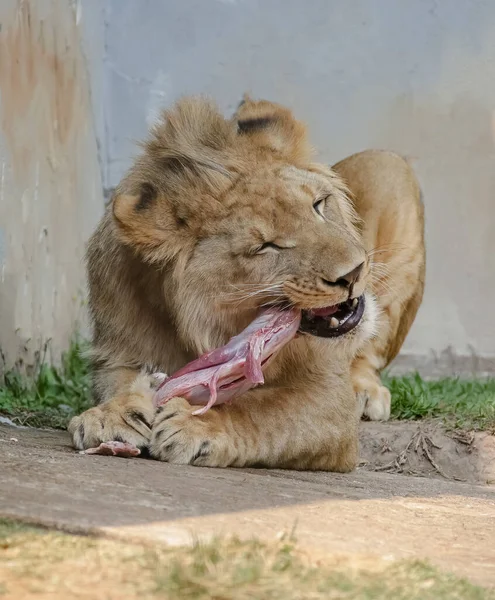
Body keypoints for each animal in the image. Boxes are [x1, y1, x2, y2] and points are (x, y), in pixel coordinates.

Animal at [69, 94, 426, 472]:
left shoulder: (327, 393)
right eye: (266, 246)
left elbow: (265, 413)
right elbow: (117, 381)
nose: (354, 272)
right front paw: (111, 415)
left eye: (318, 204)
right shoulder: (116, 352)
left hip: (387, 167)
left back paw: (365, 391)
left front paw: (198, 424)